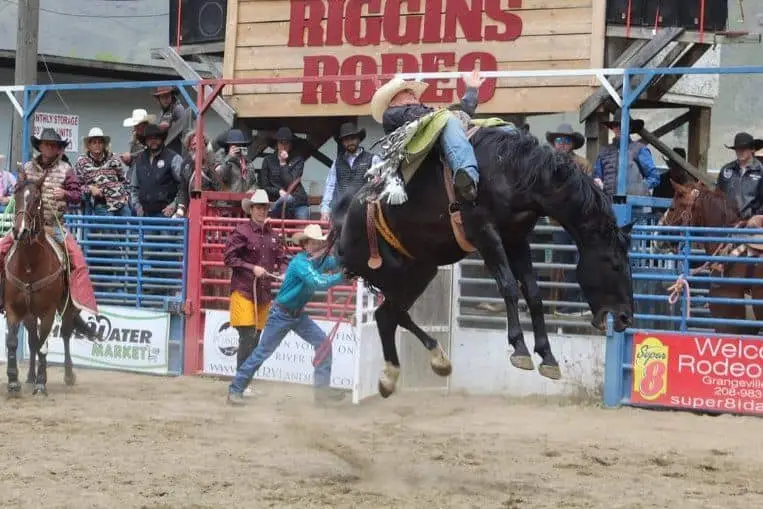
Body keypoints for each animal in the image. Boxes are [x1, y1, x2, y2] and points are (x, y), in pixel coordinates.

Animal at [4, 177, 89, 394]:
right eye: (16, 194)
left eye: (36, 199)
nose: (20, 230)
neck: (29, 265)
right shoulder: (13, 308)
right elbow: (13, 342)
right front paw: (13, 381)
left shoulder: (48, 312)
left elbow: (44, 345)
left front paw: (42, 383)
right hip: (29, 315)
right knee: (33, 341)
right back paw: (30, 377)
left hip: (67, 307)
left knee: (65, 334)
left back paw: (68, 374)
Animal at [326, 126, 632, 396]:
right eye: (615, 264)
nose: (626, 317)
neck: (512, 173)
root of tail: (344, 221)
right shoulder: (485, 233)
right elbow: (509, 286)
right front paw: (520, 349)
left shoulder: (516, 238)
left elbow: (533, 293)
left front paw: (547, 357)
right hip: (391, 273)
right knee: (391, 314)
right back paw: (429, 360)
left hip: (420, 271)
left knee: (387, 316)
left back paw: (405, 372)